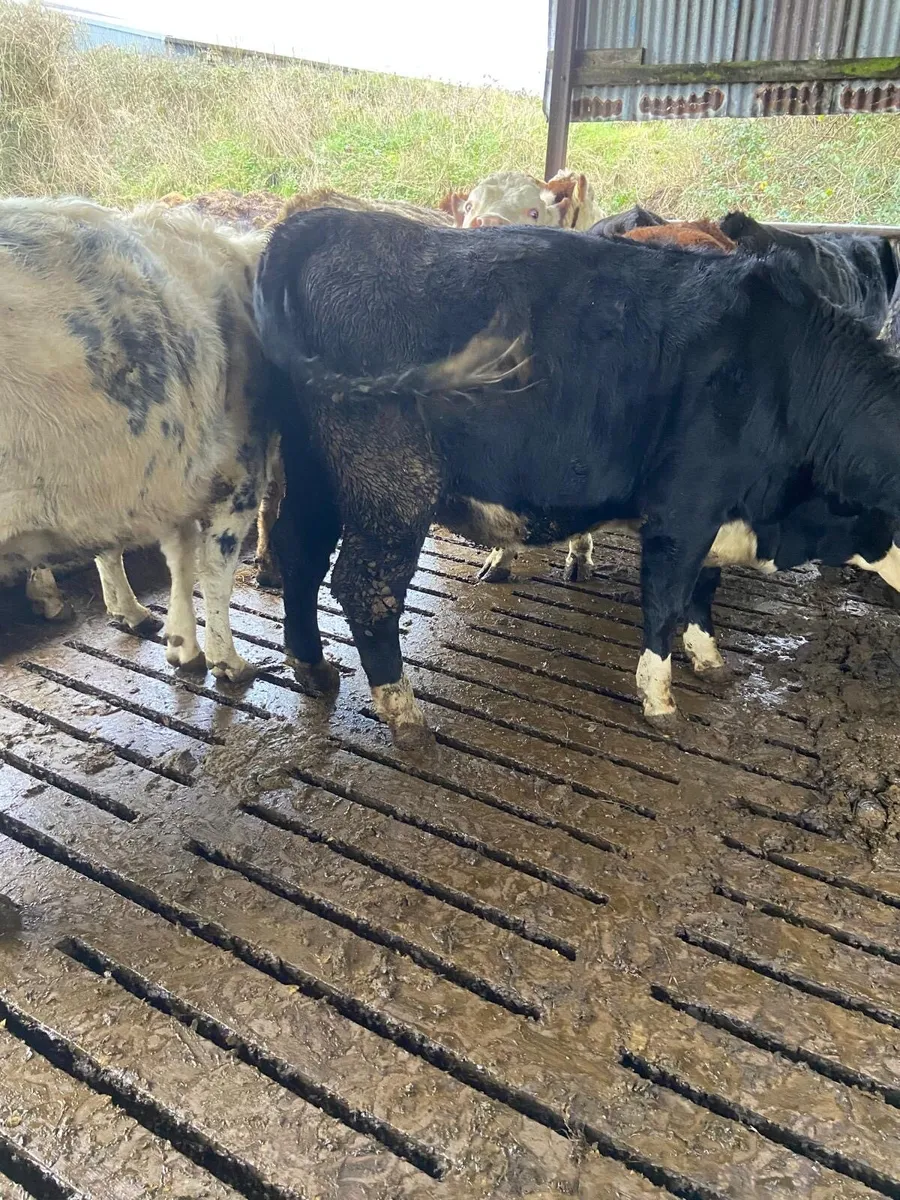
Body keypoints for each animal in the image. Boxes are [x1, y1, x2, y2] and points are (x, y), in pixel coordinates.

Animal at [0, 196, 275, 682]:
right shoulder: (237, 472)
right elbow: (213, 569)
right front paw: (227, 661)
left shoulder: (157, 474)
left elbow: (172, 557)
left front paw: (176, 641)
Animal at [253, 208, 900, 746]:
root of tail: (332, 221)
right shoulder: (684, 508)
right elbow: (666, 600)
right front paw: (660, 700)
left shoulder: (719, 514)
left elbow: (702, 590)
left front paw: (709, 658)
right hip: (392, 481)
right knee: (366, 588)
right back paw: (405, 715)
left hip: (313, 466)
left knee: (300, 554)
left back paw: (312, 667)